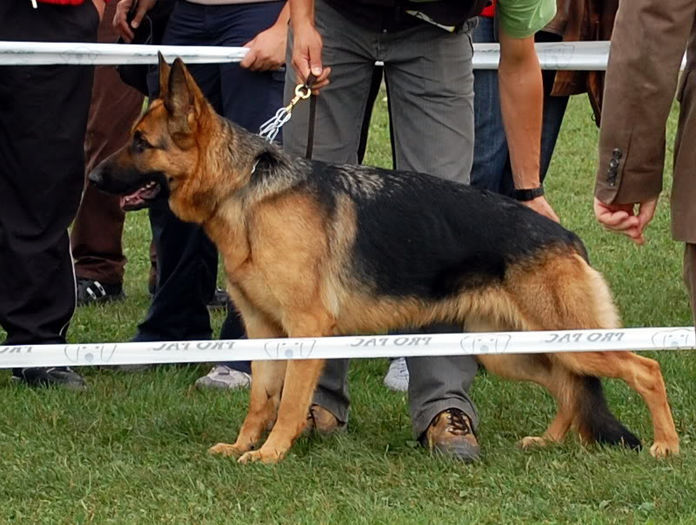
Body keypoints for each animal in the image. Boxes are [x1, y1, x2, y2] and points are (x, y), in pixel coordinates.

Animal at [88, 55, 680, 460]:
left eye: (140, 142)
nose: (91, 177)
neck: (244, 190)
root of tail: (567, 236)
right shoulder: (262, 332)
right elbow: (260, 400)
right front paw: (242, 447)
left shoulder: (306, 331)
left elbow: (287, 404)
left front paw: (271, 454)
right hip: (508, 351)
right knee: (567, 386)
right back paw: (550, 441)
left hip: (574, 342)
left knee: (644, 368)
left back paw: (667, 445)